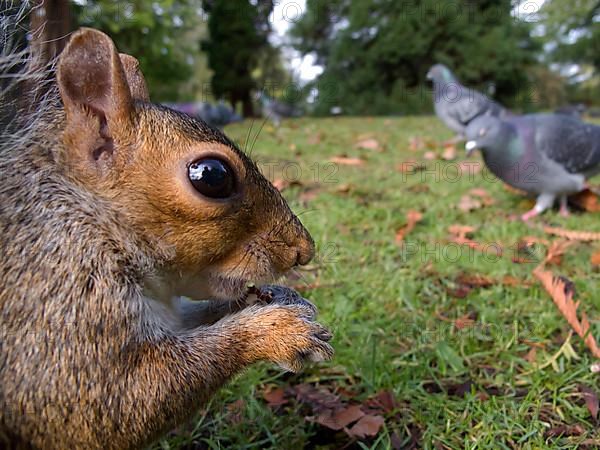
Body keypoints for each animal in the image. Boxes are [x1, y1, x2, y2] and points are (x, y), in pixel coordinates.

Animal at [0, 25, 332, 450]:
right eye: (213, 175)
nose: (303, 250)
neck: (91, 219)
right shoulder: (57, 301)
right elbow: (111, 403)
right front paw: (278, 332)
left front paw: (279, 299)